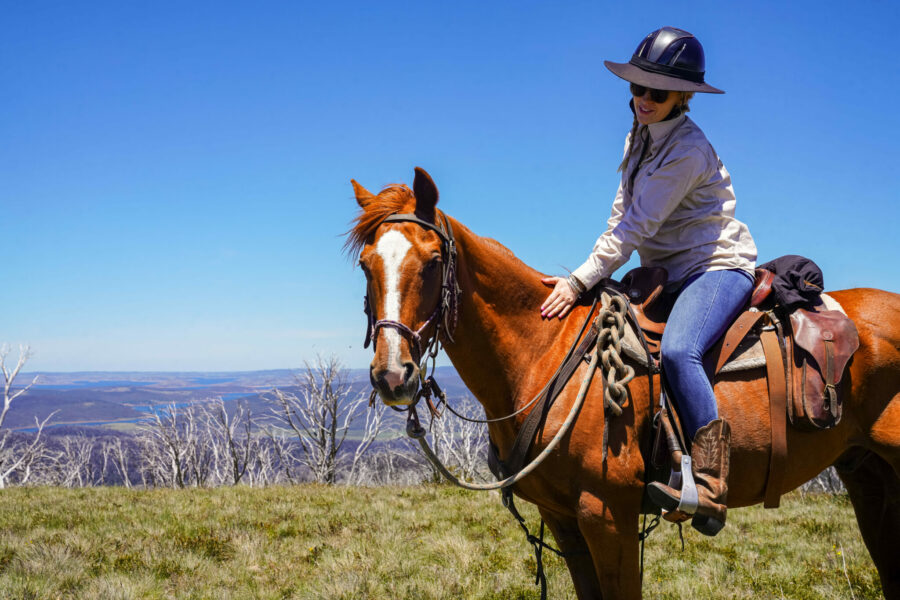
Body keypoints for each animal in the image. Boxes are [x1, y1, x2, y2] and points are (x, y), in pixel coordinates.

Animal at [346, 167, 900, 599]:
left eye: (433, 261)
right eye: (366, 264)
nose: (393, 375)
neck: (543, 353)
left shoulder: (607, 514)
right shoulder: (564, 520)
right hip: (868, 473)